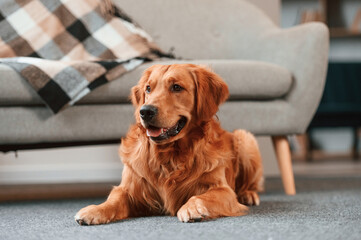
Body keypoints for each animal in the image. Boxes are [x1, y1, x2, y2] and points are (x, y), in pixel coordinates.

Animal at [75, 63, 262, 225]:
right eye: (148, 88)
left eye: (176, 87)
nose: (145, 111)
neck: (170, 154)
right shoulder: (129, 186)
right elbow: (113, 199)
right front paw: (94, 210)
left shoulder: (223, 189)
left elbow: (202, 196)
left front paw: (191, 208)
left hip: (245, 139)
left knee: (249, 184)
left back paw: (248, 195)